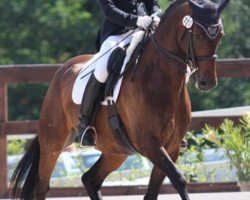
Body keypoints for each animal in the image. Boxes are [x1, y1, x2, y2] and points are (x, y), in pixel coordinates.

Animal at [11, 0, 230, 200]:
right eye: (198, 35)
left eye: (220, 36)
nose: (207, 82)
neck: (159, 78)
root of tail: (62, 70)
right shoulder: (149, 144)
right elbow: (179, 179)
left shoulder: (173, 146)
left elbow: (155, 191)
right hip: (53, 143)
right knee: (42, 187)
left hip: (116, 151)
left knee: (90, 179)